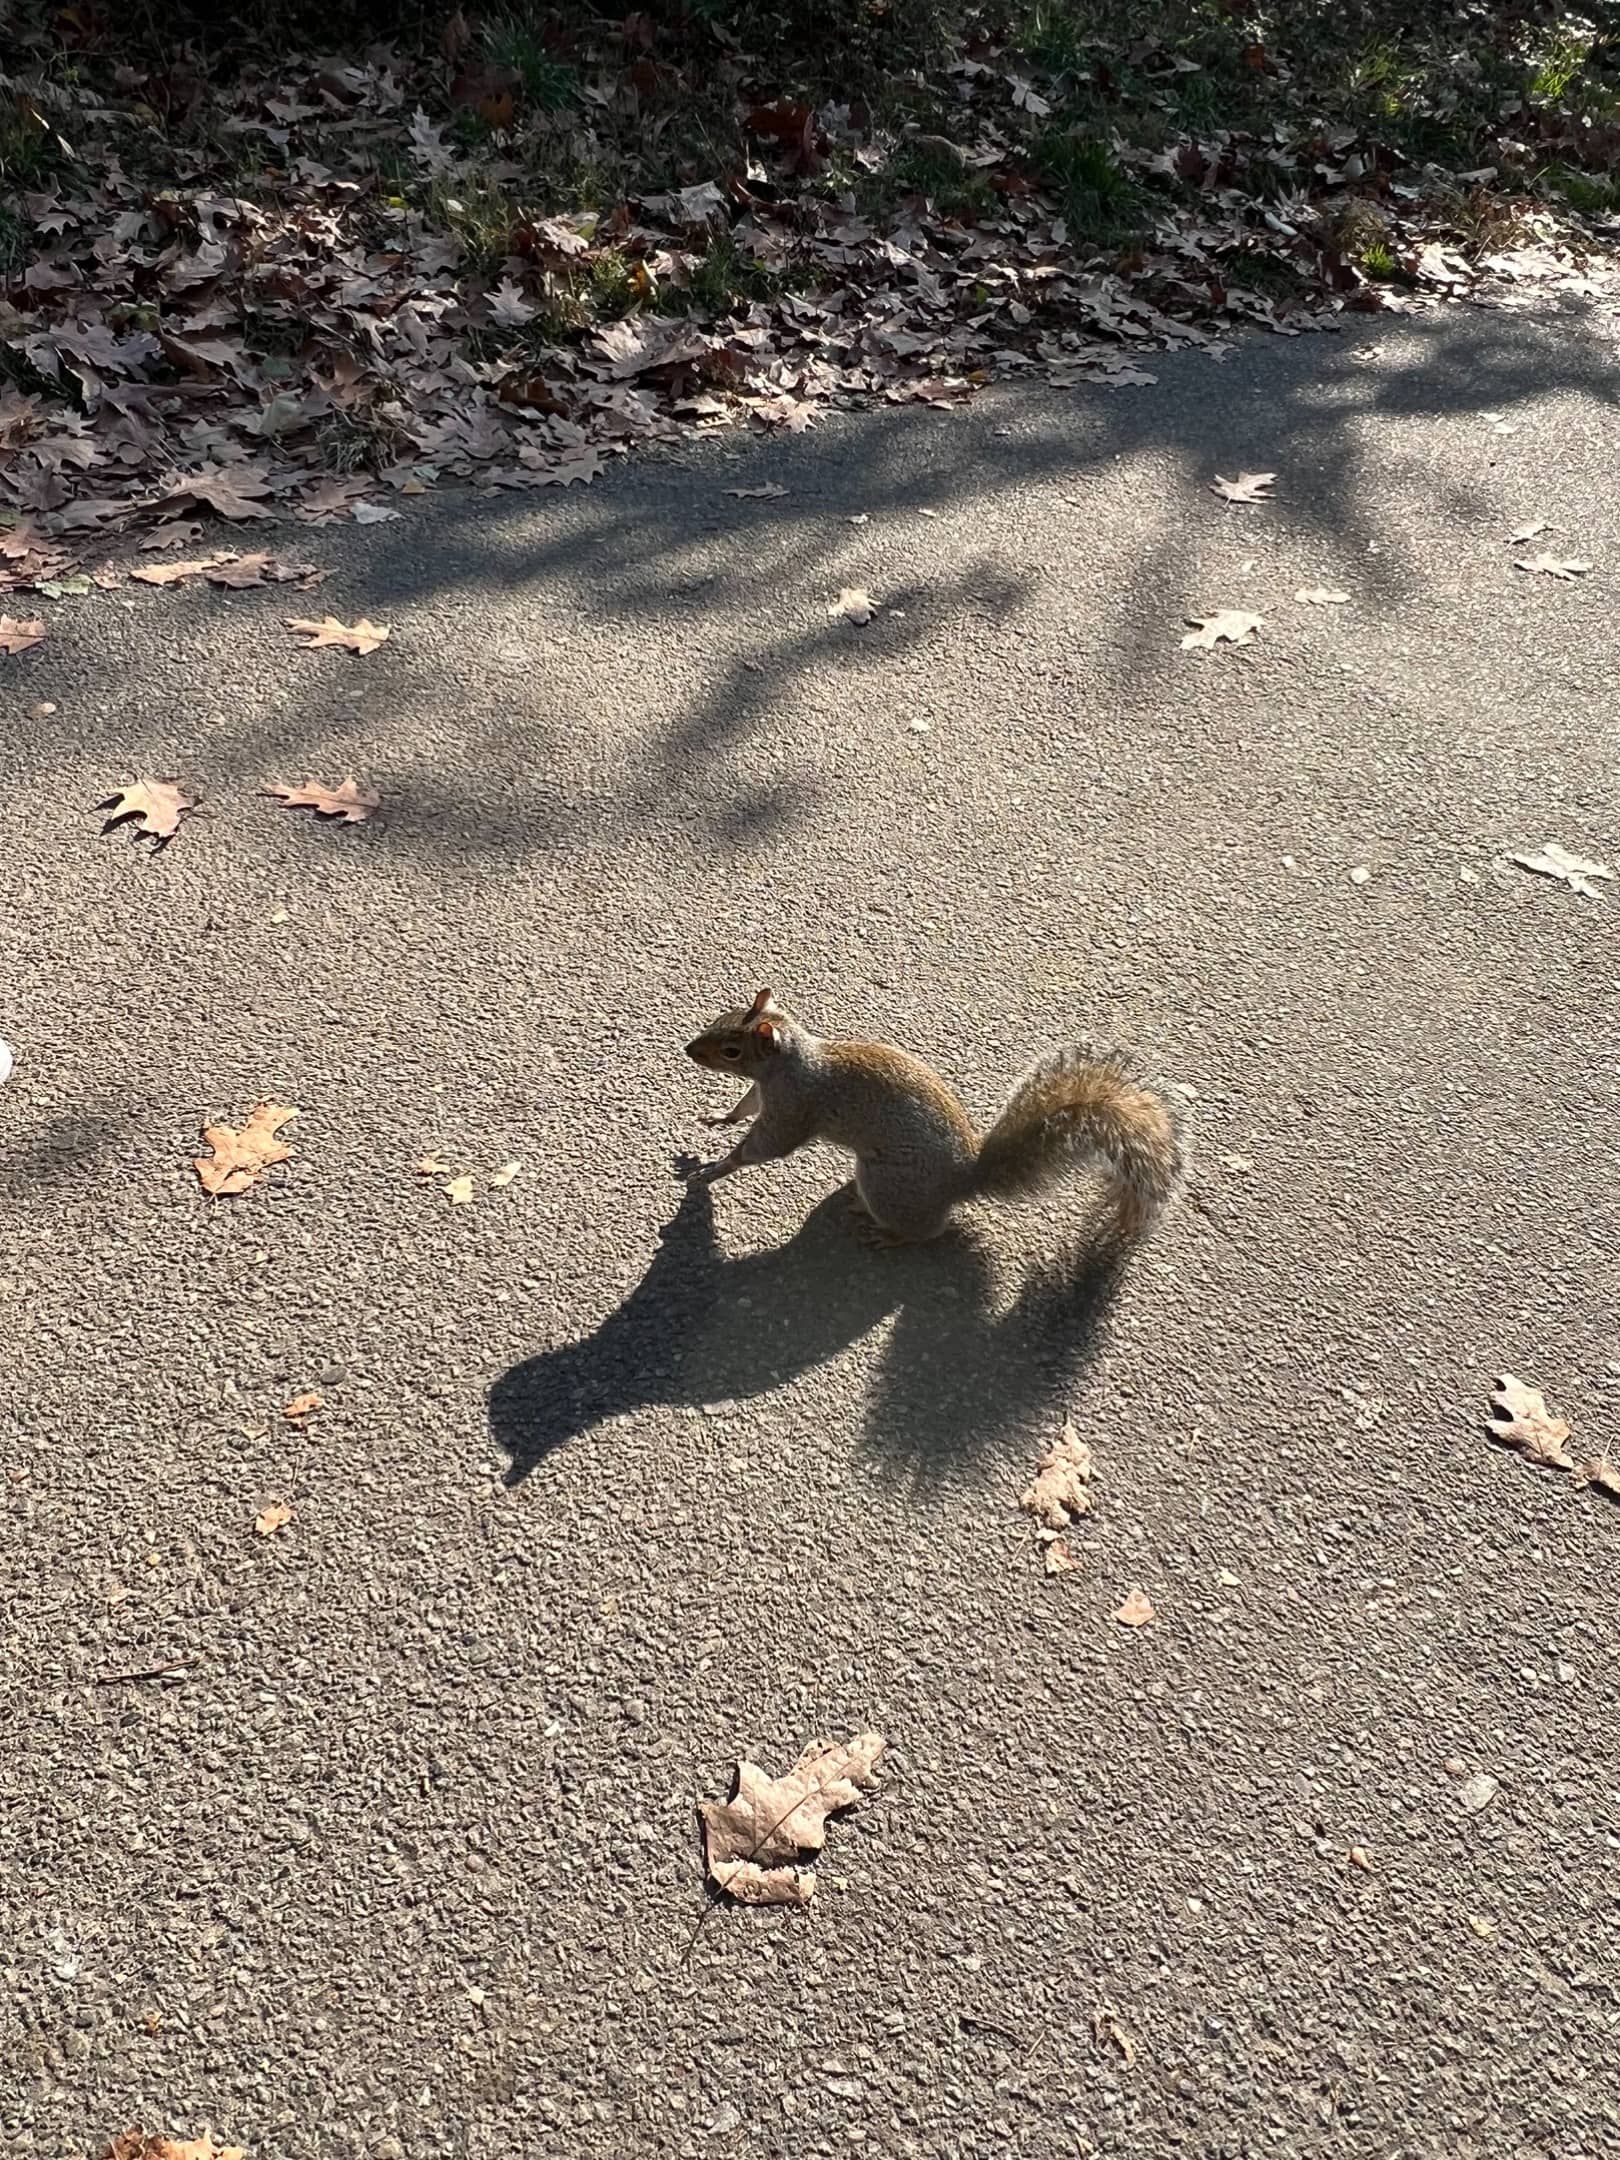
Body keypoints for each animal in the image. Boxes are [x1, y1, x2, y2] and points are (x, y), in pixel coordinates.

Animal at [686, 984, 1192, 1244]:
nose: (689, 1050)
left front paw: (717, 1168)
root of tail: (963, 1179)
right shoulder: (765, 1093)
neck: (790, 1063)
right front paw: (717, 1119)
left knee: (928, 1232)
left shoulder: (794, 1105)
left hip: (889, 1183)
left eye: (731, 1051)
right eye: (720, 1017)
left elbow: (768, 1146)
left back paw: (887, 1234)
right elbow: (744, 1108)